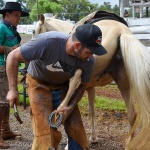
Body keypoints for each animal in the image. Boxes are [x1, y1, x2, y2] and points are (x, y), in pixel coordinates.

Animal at [33, 12, 150, 149]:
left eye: (34, 31)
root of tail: (122, 32)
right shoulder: (91, 88)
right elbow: (92, 111)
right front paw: (93, 138)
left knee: (74, 82)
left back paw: (60, 110)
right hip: (123, 83)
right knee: (133, 114)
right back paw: (128, 144)